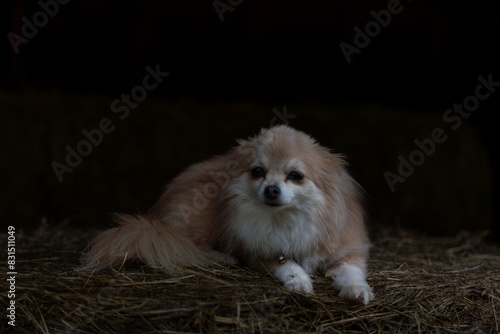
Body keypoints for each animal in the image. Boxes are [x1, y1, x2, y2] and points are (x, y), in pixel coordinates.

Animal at [82, 125, 374, 302]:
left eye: (296, 176)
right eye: (258, 171)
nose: (271, 189)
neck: (287, 220)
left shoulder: (347, 251)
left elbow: (352, 272)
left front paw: (357, 290)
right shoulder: (261, 252)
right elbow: (288, 265)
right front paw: (299, 281)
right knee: (189, 245)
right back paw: (222, 257)